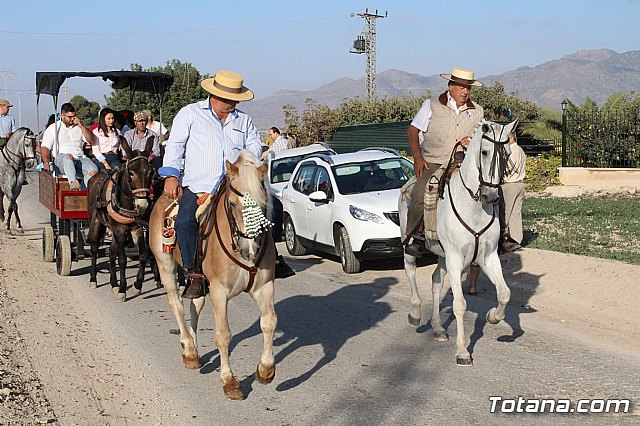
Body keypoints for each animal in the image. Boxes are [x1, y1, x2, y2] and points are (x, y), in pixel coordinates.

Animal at [87, 137, 159, 302]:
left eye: (150, 172)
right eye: (130, 173)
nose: (143, 205)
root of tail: (95, 177)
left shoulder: (135, 228)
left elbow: (143, 254)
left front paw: (136, 286)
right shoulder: (119, 230)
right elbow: (122, 259)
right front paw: (122, 290)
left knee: (111, 252)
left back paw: (113, 283)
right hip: (96, 221)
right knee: (94, 248)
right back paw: (93, 279)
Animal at [149, 151, 276, 402]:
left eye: (262, 204)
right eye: (233, 204)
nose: (250, 250)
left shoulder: (264, 286)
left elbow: (269, 323)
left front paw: (266, 370)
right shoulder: (219, 291)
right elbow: (223, 334)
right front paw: (229, 381)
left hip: (199, 280)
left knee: (195, 304)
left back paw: (193, 346)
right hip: (165, 265)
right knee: (176, 304)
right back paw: (189, 349)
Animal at [398, 120, 516, 366]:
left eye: (508, 154)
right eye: (484, 152)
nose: (491, 196)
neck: (473, 207)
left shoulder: (487, 257)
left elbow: (504, 294)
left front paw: (493, 317)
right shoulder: (455, 257)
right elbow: (460, 305)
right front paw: (462, 351)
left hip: (443, 255)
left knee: (435, 282)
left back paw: (437, 328)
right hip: (411, 245)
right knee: (410, 269)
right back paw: (415, 314)